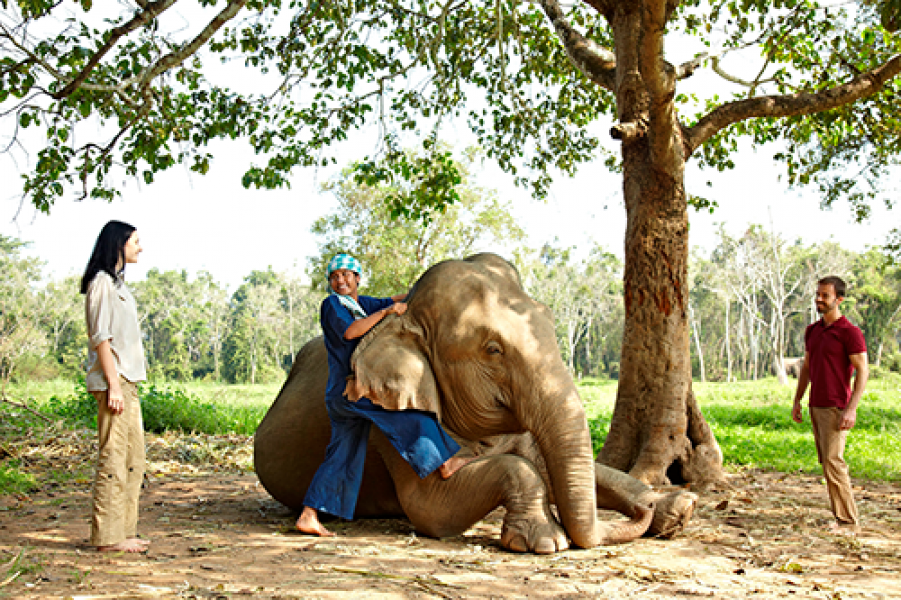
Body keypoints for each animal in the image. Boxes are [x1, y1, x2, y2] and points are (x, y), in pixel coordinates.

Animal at [254, 253, 697, 554]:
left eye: (550, 322)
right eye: (493, 349)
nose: (643, 511)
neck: (405, 320)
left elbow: (546, 462)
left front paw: (678, 507)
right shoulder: (387, 417)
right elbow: (432, 507)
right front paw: (545, 541)